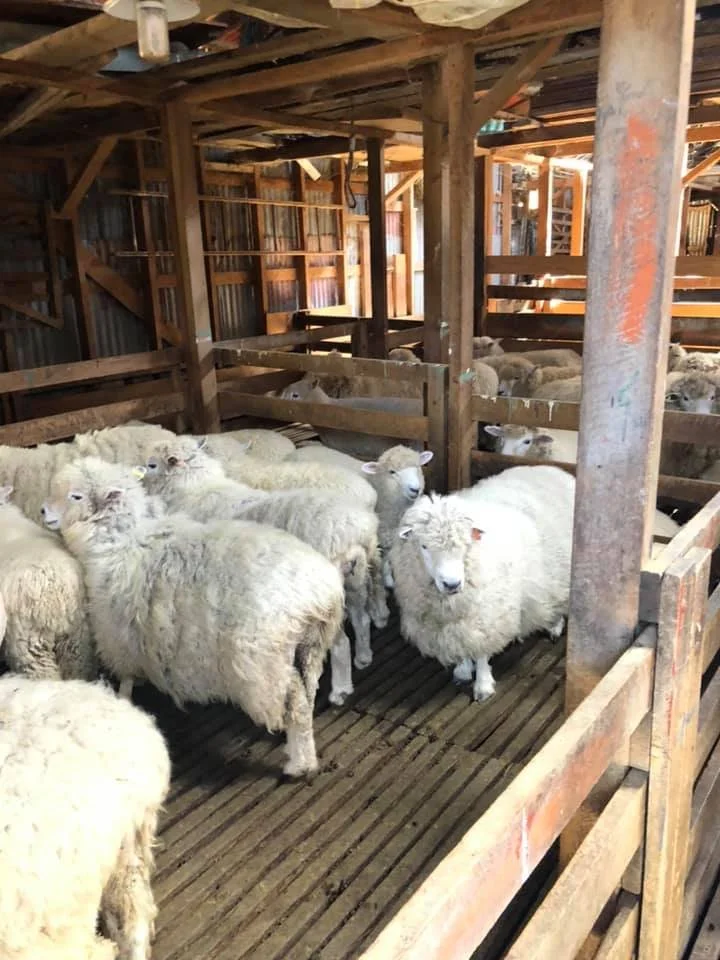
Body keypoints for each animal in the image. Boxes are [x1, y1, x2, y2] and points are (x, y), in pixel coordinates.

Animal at [43, 457, 345, 778]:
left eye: (76, 496)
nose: (42, 511)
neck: (120, 539)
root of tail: (319, 592)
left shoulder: (119, 635)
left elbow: (125, 678)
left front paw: (123, 700)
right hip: (311, 648)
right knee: (307, 695)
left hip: (265, 660)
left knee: (295, 703)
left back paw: (298, 764)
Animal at [142, 436, 388, 693]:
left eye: (152, 465)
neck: (196, 486)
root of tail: (354, 533)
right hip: (357, 577)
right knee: (362, 617)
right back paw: (364, 655)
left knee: (341, 642)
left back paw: (340, 688)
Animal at [390, 465, 574, 702]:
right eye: (423, 546)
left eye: (466, 544)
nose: (452, 584)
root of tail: (552, 468)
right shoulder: (456, 623)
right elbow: (462, 645)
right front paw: (463, 669)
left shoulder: (488, 615)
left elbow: (482, 652)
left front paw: (483, 684)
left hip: (563, 570)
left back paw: (555, 625)